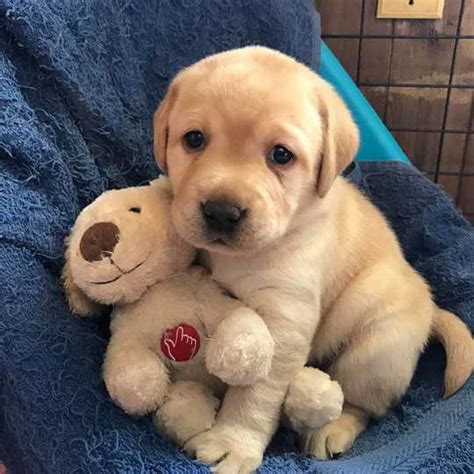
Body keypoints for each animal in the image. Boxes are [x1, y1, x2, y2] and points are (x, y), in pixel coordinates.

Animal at [153, 46, 473, 472]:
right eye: (194, 139)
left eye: (281, 155)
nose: (221, 212)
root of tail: (431, 308)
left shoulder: (284, 316)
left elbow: (254, 393)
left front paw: (232, 442)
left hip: (374, 350)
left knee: (364, 405)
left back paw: (332, 430)